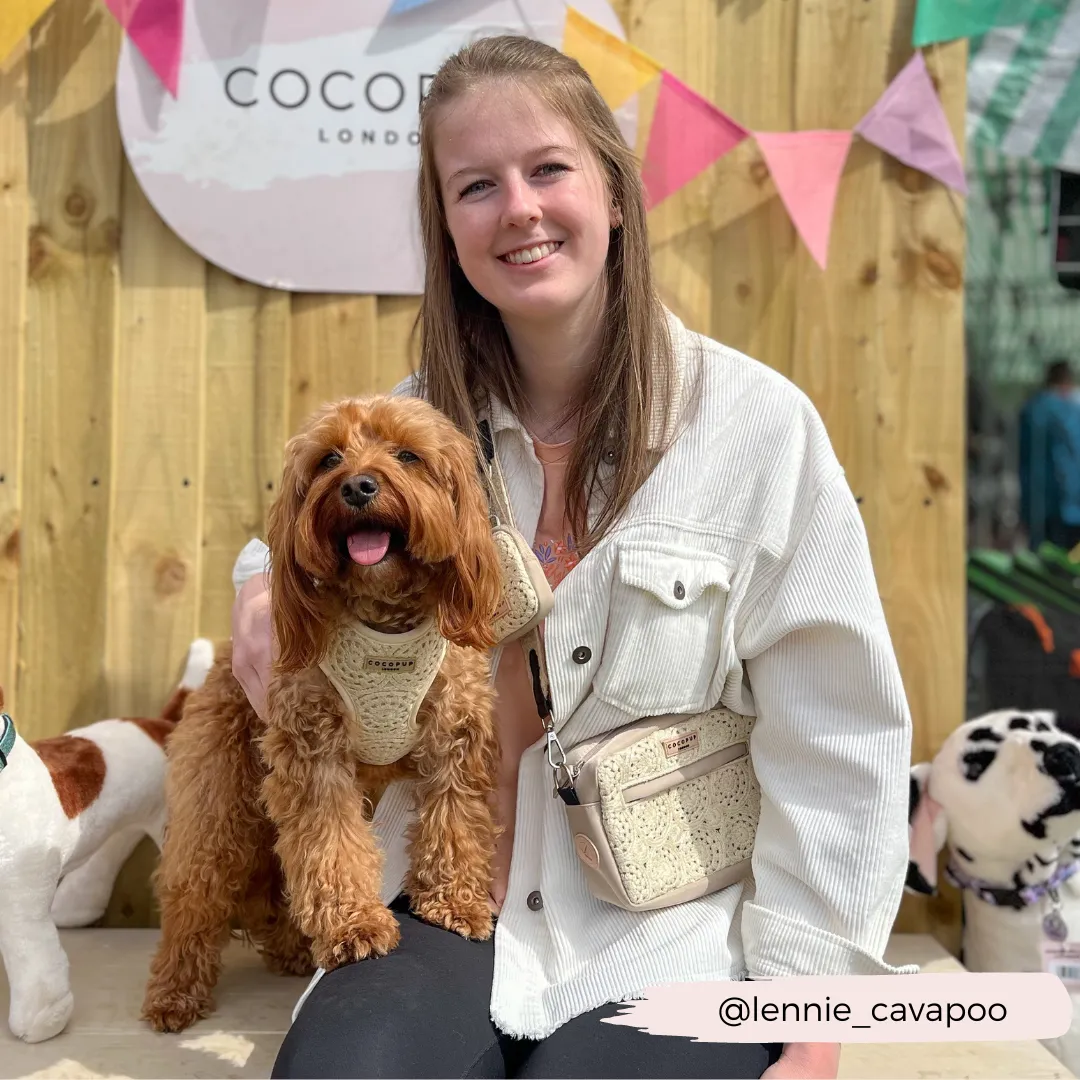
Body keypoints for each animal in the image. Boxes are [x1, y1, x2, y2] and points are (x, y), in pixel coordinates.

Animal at [138, 395, 501, 1028]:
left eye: (408, 454)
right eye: (329, 458)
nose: (356, 486)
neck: (384, 629)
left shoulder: (454, 743)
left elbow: (454, 826)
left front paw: (455, 904)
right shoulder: (314, 754)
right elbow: (329, 849)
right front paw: (355, 927)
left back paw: (288, 948)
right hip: (217, 800)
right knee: (194, 892)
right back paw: (173, 994)